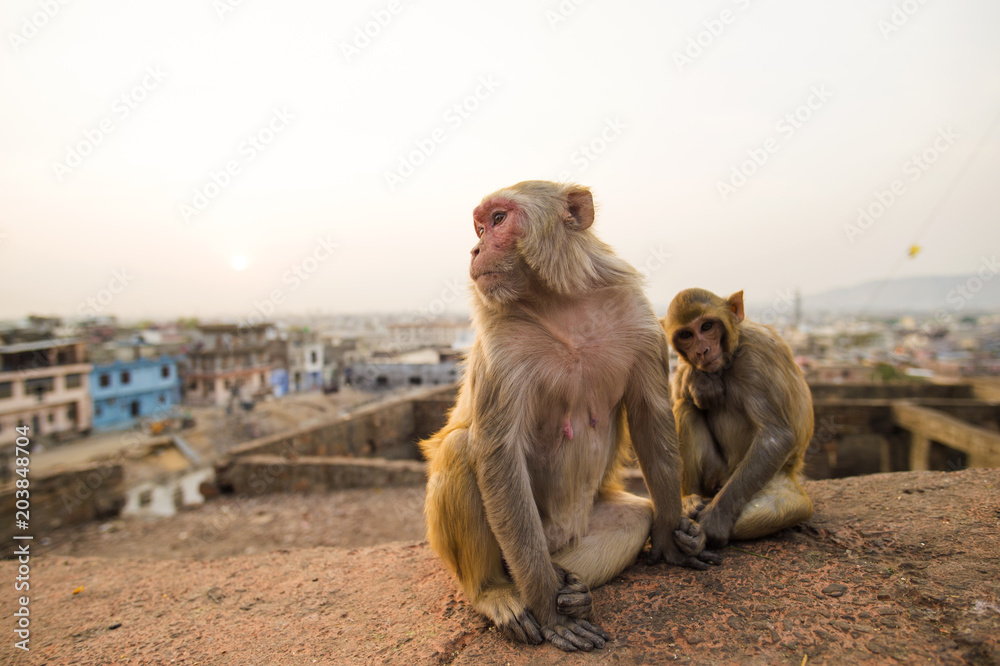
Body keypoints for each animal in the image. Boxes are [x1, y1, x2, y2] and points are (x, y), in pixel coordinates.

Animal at [418, 179, 716, 652]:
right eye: (480, 227)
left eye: (497, 220)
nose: (475, 249)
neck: (560, 302)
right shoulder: (501, 339)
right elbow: (498, 453)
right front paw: (548, 609)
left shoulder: (637, 314)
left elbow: (650, 417)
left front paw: (674, 538)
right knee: (462, 448)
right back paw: (500, 592)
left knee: (633, 518)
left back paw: (574, 589)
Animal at [664, 288, 812, 548]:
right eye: (686, 334)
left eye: (707, 327)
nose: (702, 351)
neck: (731, 357)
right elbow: (679, 395)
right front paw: (698, 379)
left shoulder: (756, 357)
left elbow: (776, 436)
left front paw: (714, 520)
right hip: (715, 472)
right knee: (685, 407)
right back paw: (689, 503)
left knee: (790, 506)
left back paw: (700, 535)